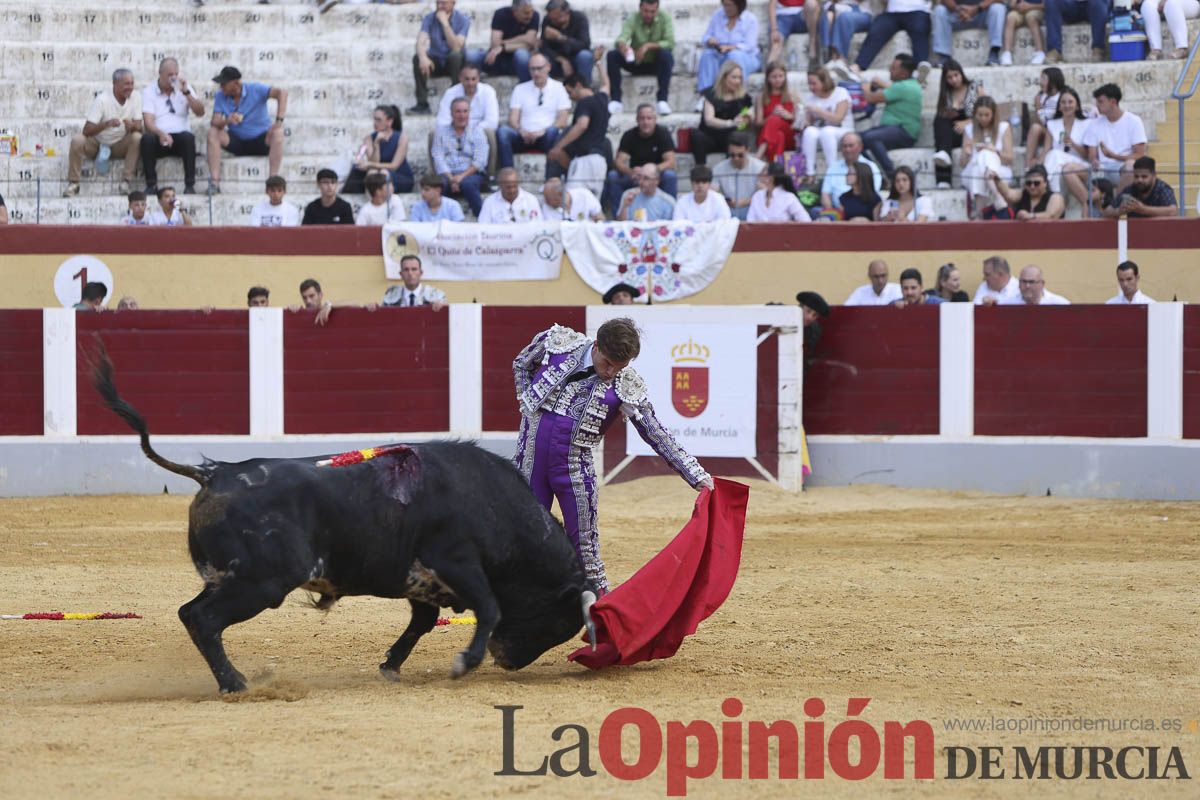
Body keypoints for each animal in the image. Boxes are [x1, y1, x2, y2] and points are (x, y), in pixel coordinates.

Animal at [91, 350, 597, 695]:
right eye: (558, 622)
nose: (506, 661)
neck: (496, 506)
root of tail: (215, 473)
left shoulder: (422, 579)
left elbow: (423, 621)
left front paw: (391, 666)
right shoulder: (455, 561)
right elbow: (489, 608)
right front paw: (462, 663)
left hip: (233, 578)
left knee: (190, 613)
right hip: (262, 582)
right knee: (203, 619)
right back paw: (236, 684)